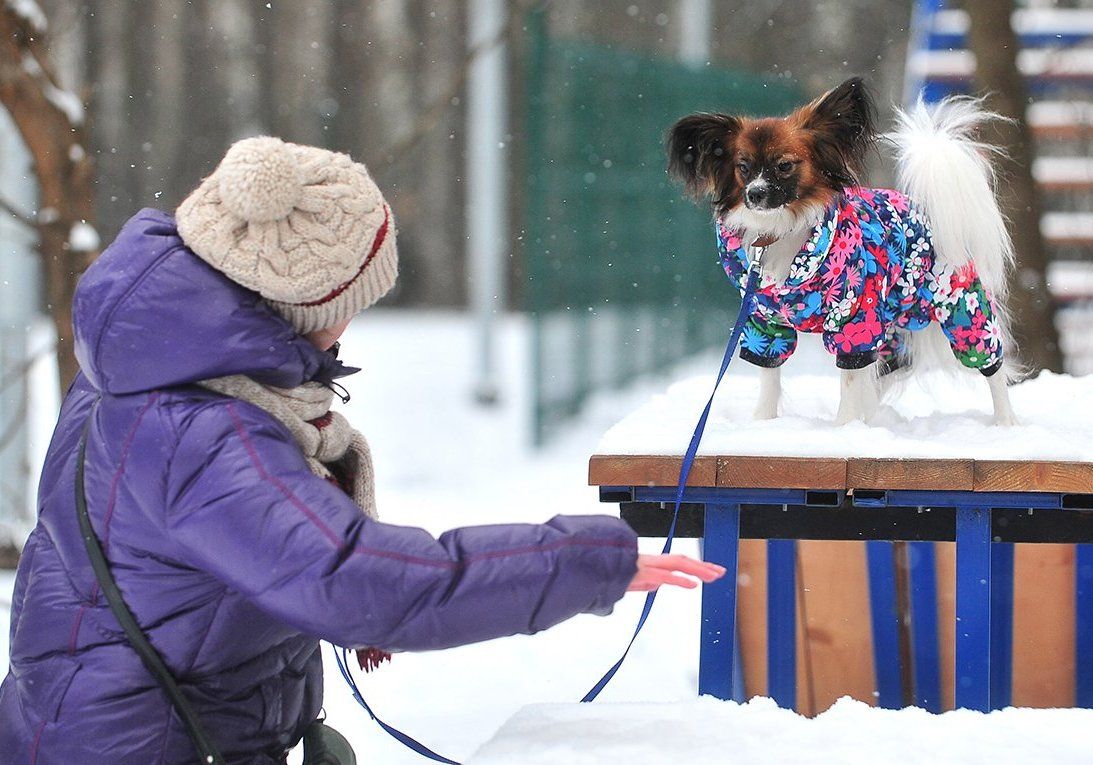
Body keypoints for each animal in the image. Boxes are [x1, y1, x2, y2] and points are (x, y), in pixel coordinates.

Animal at [664, 79, 1014, 424]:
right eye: (744, 167)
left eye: (784, 165)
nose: (755, 194)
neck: (782, 231)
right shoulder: (763, 324)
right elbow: (770, 376)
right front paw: (763, 422)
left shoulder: (855, 321)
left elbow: (849, 380)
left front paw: (845, 428)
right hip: (892, 325)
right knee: (885, 370)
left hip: (962, 309)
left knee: (992, 369)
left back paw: (1005, 422)